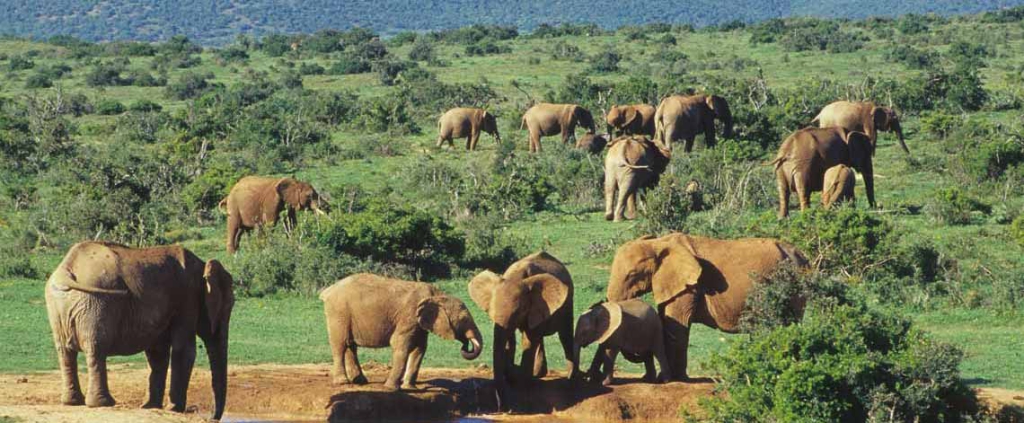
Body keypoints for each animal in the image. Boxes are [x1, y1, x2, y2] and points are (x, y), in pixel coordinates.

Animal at [44, 242, 234, 421]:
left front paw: (150, 407)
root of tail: (66, 271)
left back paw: (72, 402)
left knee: (65, 352)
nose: (210, 417)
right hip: (95, 303)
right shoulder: (187, 298)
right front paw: (174, 409)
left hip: (60, 305)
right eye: (228, 307)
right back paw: (103, 403)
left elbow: (158, 353)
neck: (202, 266)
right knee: (95, 348)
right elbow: (185, 351)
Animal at [320, 274, 483, 391]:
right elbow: (400, 345)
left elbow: (420, 349)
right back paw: (342, 382)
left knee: (350, 344)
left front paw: (410, 387)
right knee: (340, 344)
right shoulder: (409, 316)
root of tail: (328, 290)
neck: (438, 294)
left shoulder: (419, 323)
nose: (465, 345)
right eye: (464, 319)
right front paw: (391, 388)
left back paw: (360, 382)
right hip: (338, 312)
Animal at [468, 251, 576, 409]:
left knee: (565, 336)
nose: (504, 408)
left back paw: (570, 380)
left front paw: (523, 382)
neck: (517, 277)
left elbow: (529, 340)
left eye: (518, 312)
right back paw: (538, 374)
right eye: (490, 313)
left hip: (568, 303)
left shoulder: (538, 305)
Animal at [606, 233, 808, 380]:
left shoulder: (690, 285)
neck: (658, 243)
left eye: (632, 275)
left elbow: (676, 325)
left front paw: (672, 379)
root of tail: (800, 254)